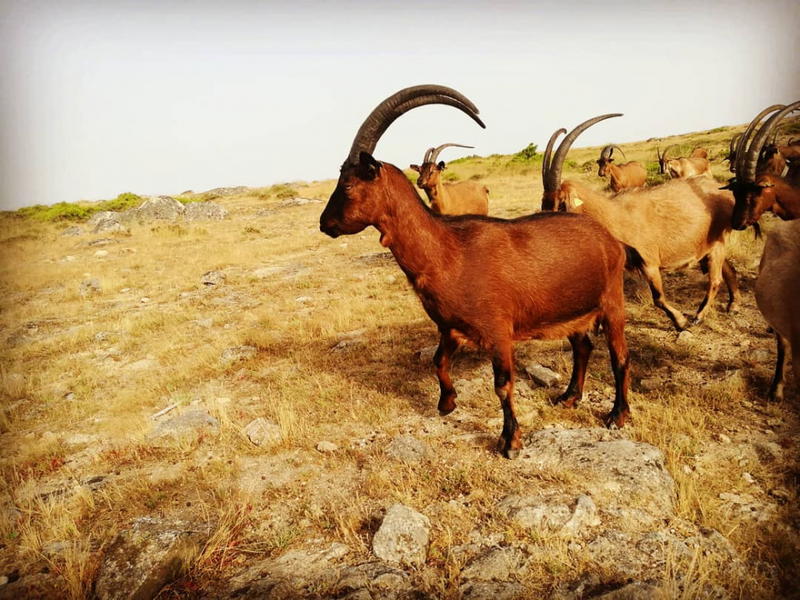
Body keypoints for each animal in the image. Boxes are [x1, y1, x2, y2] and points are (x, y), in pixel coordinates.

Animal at [320, 85, 636, 459]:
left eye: (348, 185)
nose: (325, 223)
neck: (448, 251)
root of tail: (610, 239)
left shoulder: (498, 333)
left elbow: (502, 385)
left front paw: (510, 441)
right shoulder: (449, 327)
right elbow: (438, 361)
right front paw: (447, 403)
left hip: (611, 304)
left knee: (620, 357)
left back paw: (618, 415)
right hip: (572, 310)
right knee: (583, 347)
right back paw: (570, 397)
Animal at [542, 115, 739, 331]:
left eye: (561, 204)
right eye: (544, 202)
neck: (616, 214)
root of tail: (723, 191)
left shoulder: (650, 263)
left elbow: (658, 298)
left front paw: (681, 321)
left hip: (716, 246)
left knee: (715, 280)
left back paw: (699, 316)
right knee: (728, 270)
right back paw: (733, 305)